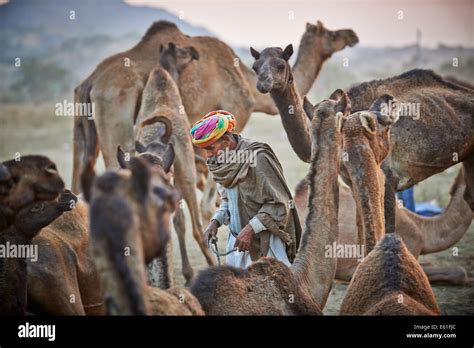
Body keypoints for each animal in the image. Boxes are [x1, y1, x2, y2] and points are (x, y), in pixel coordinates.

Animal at [71, 19, 360, 193]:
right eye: (331, 33)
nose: (352, 35)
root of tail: (91, 82)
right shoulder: (237, 111)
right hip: (115, 116)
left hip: (82, 125)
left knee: (79, 170)